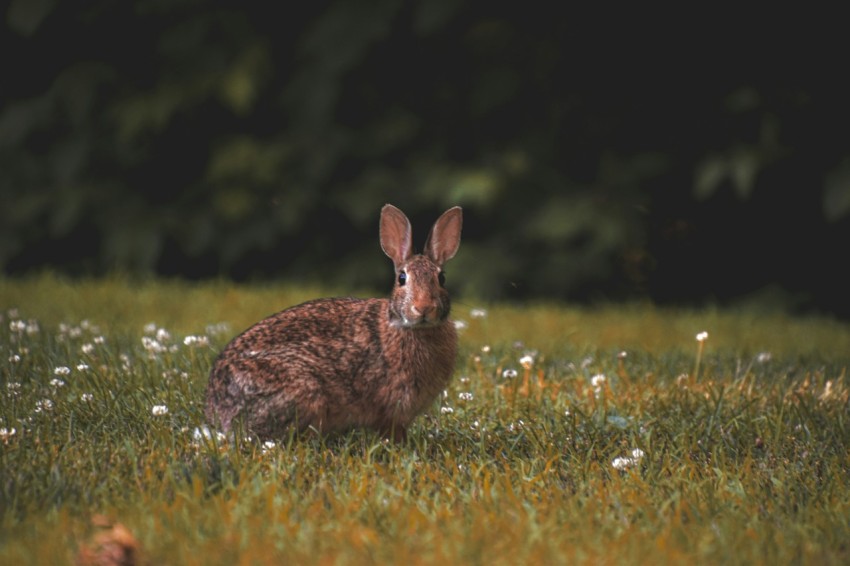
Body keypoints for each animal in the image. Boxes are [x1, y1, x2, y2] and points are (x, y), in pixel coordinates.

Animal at [202, 204, 460, 444]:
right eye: (402, 278)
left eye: (442, 278)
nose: (423, 308)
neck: (412, 328)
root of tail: (217, 411)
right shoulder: (390, 407)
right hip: (302, 391)